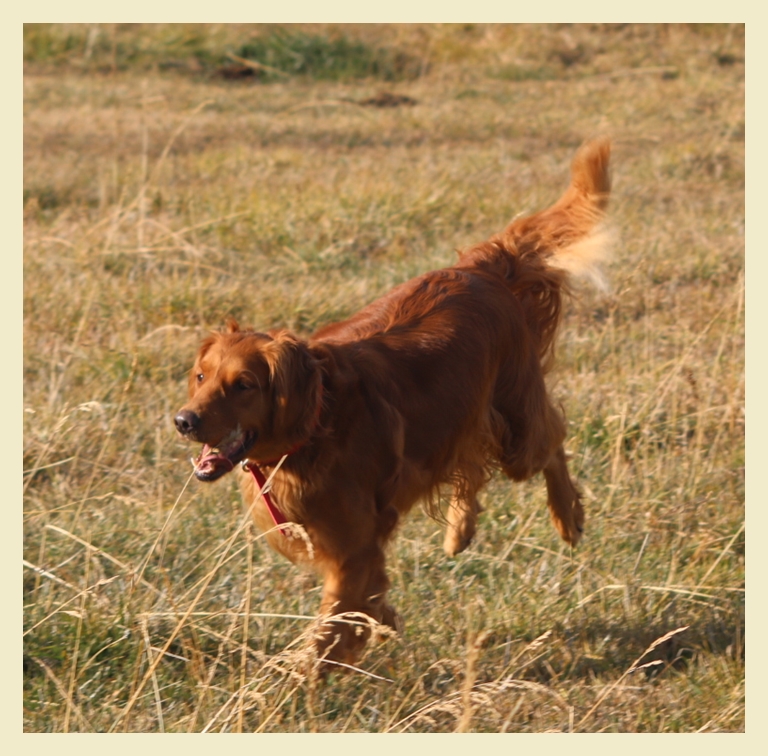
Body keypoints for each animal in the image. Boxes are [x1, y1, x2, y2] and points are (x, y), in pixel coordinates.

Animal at [174, 136, 612, 668]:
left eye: (243, 385)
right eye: (201, 376)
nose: (184, 421)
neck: (315, 429)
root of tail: (478, 268)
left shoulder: (353, 548)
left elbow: (330, 629)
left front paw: (302, 677)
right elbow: (365, 602)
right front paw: (380, 622)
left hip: (516, 429)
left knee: (551, 440)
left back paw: (568, 517)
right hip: (464, 416)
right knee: (471, 465)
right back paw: (459, 530)